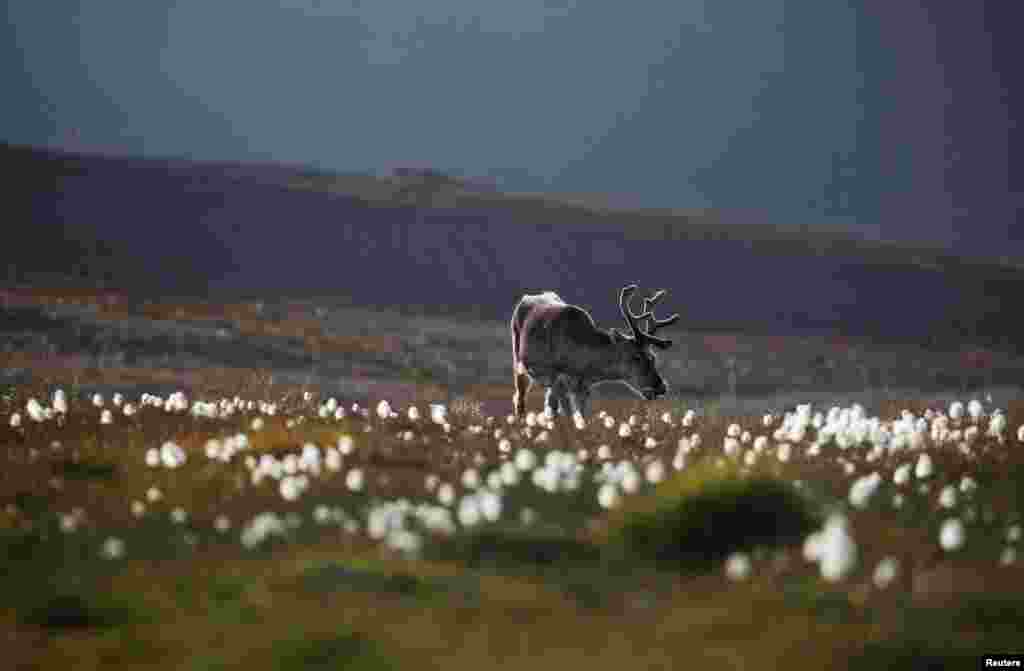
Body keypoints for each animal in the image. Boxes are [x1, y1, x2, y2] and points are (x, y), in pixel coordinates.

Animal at [511, 284, 679, 420]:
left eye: (653, 357)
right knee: (520, 398)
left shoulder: (582, 388)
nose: (661, 387)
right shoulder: (559, 379)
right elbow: (567, 415)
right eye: (636, 356)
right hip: (519, 361)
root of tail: (525, 298)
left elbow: (580, 417)